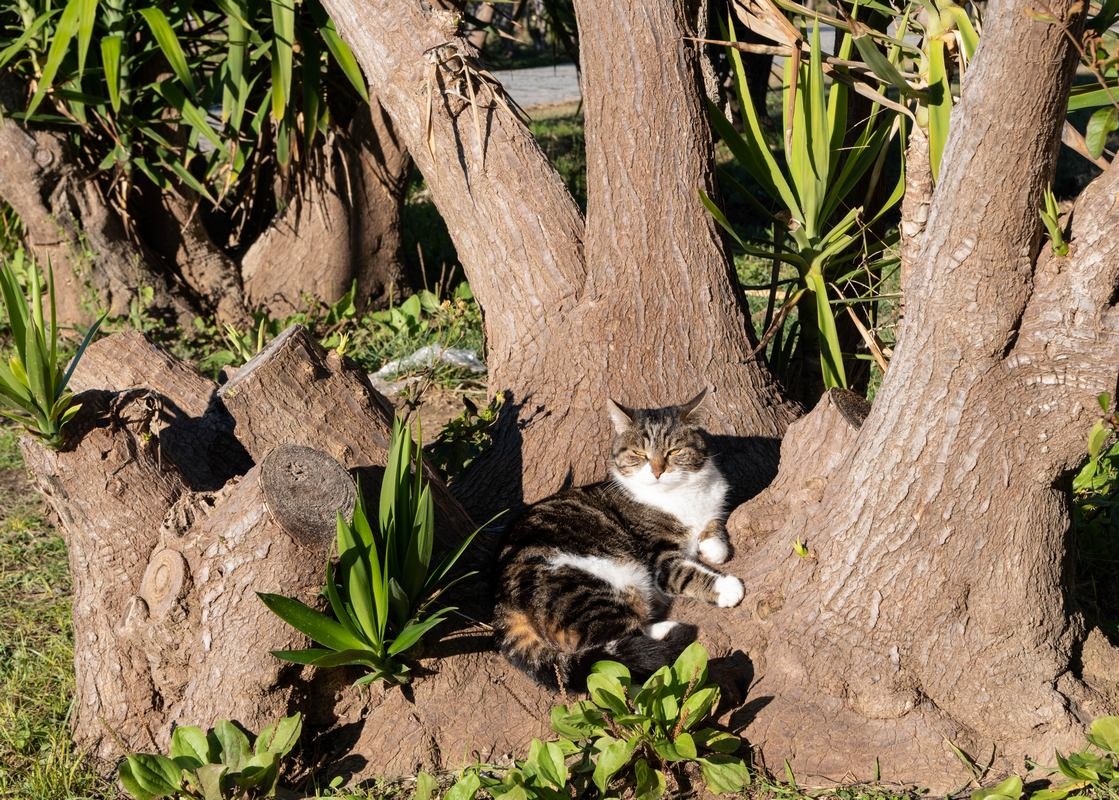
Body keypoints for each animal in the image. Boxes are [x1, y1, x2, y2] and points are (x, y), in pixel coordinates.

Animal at [492, 389, 743, 689]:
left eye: (673, 451)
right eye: (640, 454)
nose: (657, 471)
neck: (679, 494)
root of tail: (503, 604)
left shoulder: (712, 507)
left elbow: (713, 536)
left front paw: (712, 547)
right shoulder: (659, 557)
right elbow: (686, 572)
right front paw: (726, 587)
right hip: (591, 587)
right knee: (612, 648)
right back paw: (667, 631)